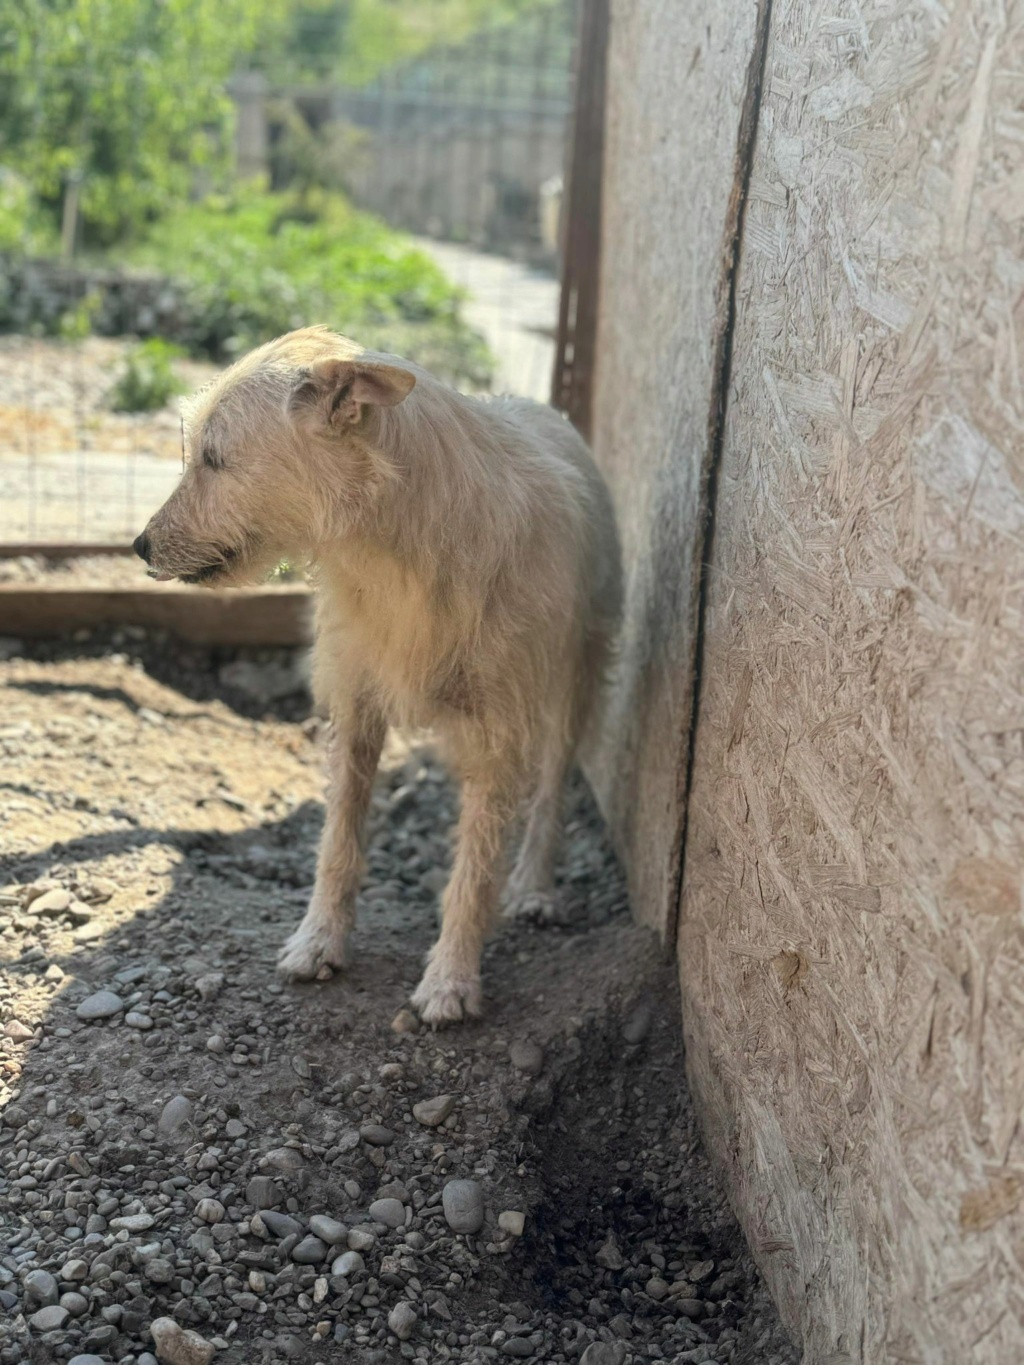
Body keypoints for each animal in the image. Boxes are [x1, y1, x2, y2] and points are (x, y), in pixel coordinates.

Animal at [132, 330, 622, 1026]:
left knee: (552, 786)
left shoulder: (500, 731)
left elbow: (475, 866)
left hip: (577, 678)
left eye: (214, 458)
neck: (398, 554)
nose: (139, 547)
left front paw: (451, 976)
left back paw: (533, 885)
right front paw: (319, 940)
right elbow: (339, 838)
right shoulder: (356, 707)